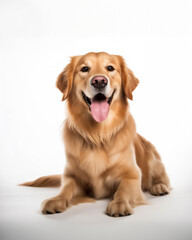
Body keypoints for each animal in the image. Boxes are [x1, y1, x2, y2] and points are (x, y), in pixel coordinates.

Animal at [21, 51, 171, 217]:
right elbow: (66, 188)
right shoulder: (71, 175)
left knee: (162, 177)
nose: (99, 81)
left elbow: (123, 189)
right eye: (84, 69)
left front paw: (119, 203)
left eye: (110, 68)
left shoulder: (132, 174)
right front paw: (56, 199)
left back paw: (159, 187)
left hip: (152, 158)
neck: (98, 135)